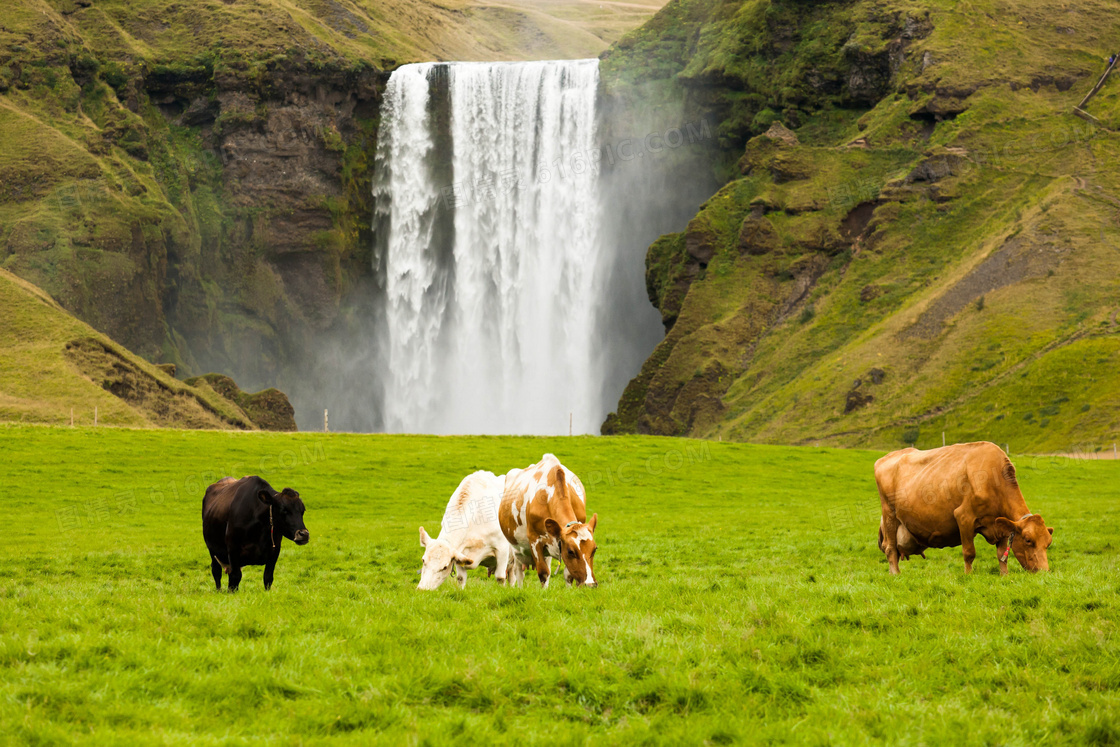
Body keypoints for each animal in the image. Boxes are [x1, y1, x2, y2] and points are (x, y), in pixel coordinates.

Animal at [501, 452, 600, 586]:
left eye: (594, 550)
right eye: (571, 551)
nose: (590, 584)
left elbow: (568, 575)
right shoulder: (535, 540)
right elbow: (543, 573)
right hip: (516, 548)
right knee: (518, 572)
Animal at [873, 441, 1048, 577]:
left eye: (1048, 543)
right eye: (1028, 540)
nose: (1044, 572)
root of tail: (886, 457)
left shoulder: (1000, 525)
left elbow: (1001, 555)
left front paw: (1004, 575)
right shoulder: (964, 517)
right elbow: (969, 553)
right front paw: (968, 576)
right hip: (889, 514)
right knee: (890, 548)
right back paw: (895, 574)